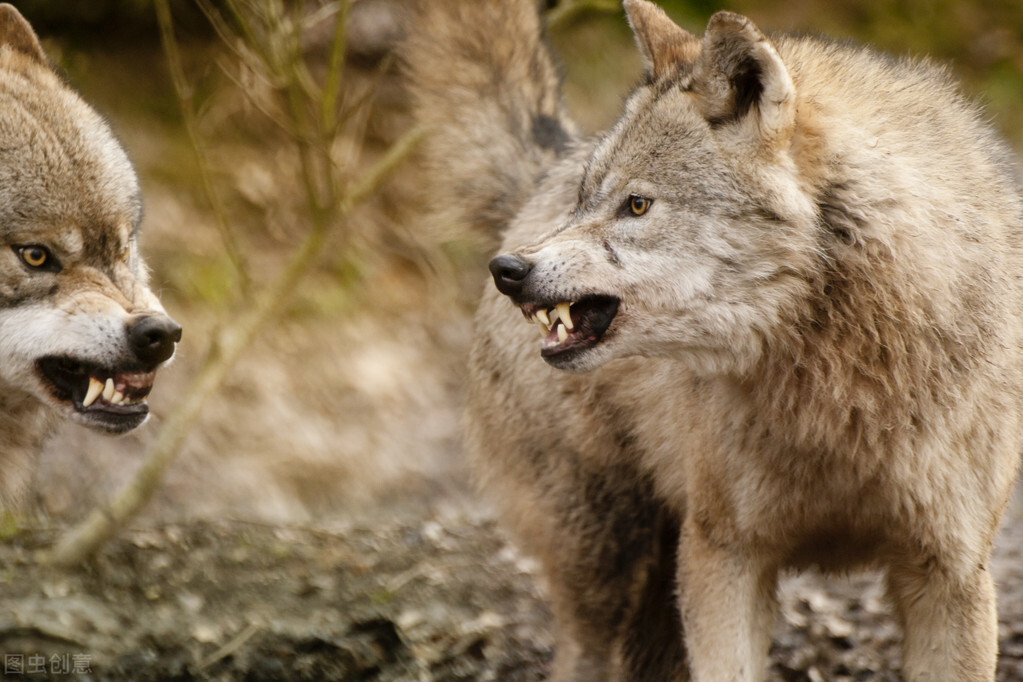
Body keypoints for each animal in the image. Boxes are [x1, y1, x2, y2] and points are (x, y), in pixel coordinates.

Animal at [403, 1, 1023, 682]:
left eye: (636, 205)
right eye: (586, 201)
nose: (508, 269)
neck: (840, 388)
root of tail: (545, 168)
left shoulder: (950, 573)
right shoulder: (723, 556)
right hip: (606, 556)